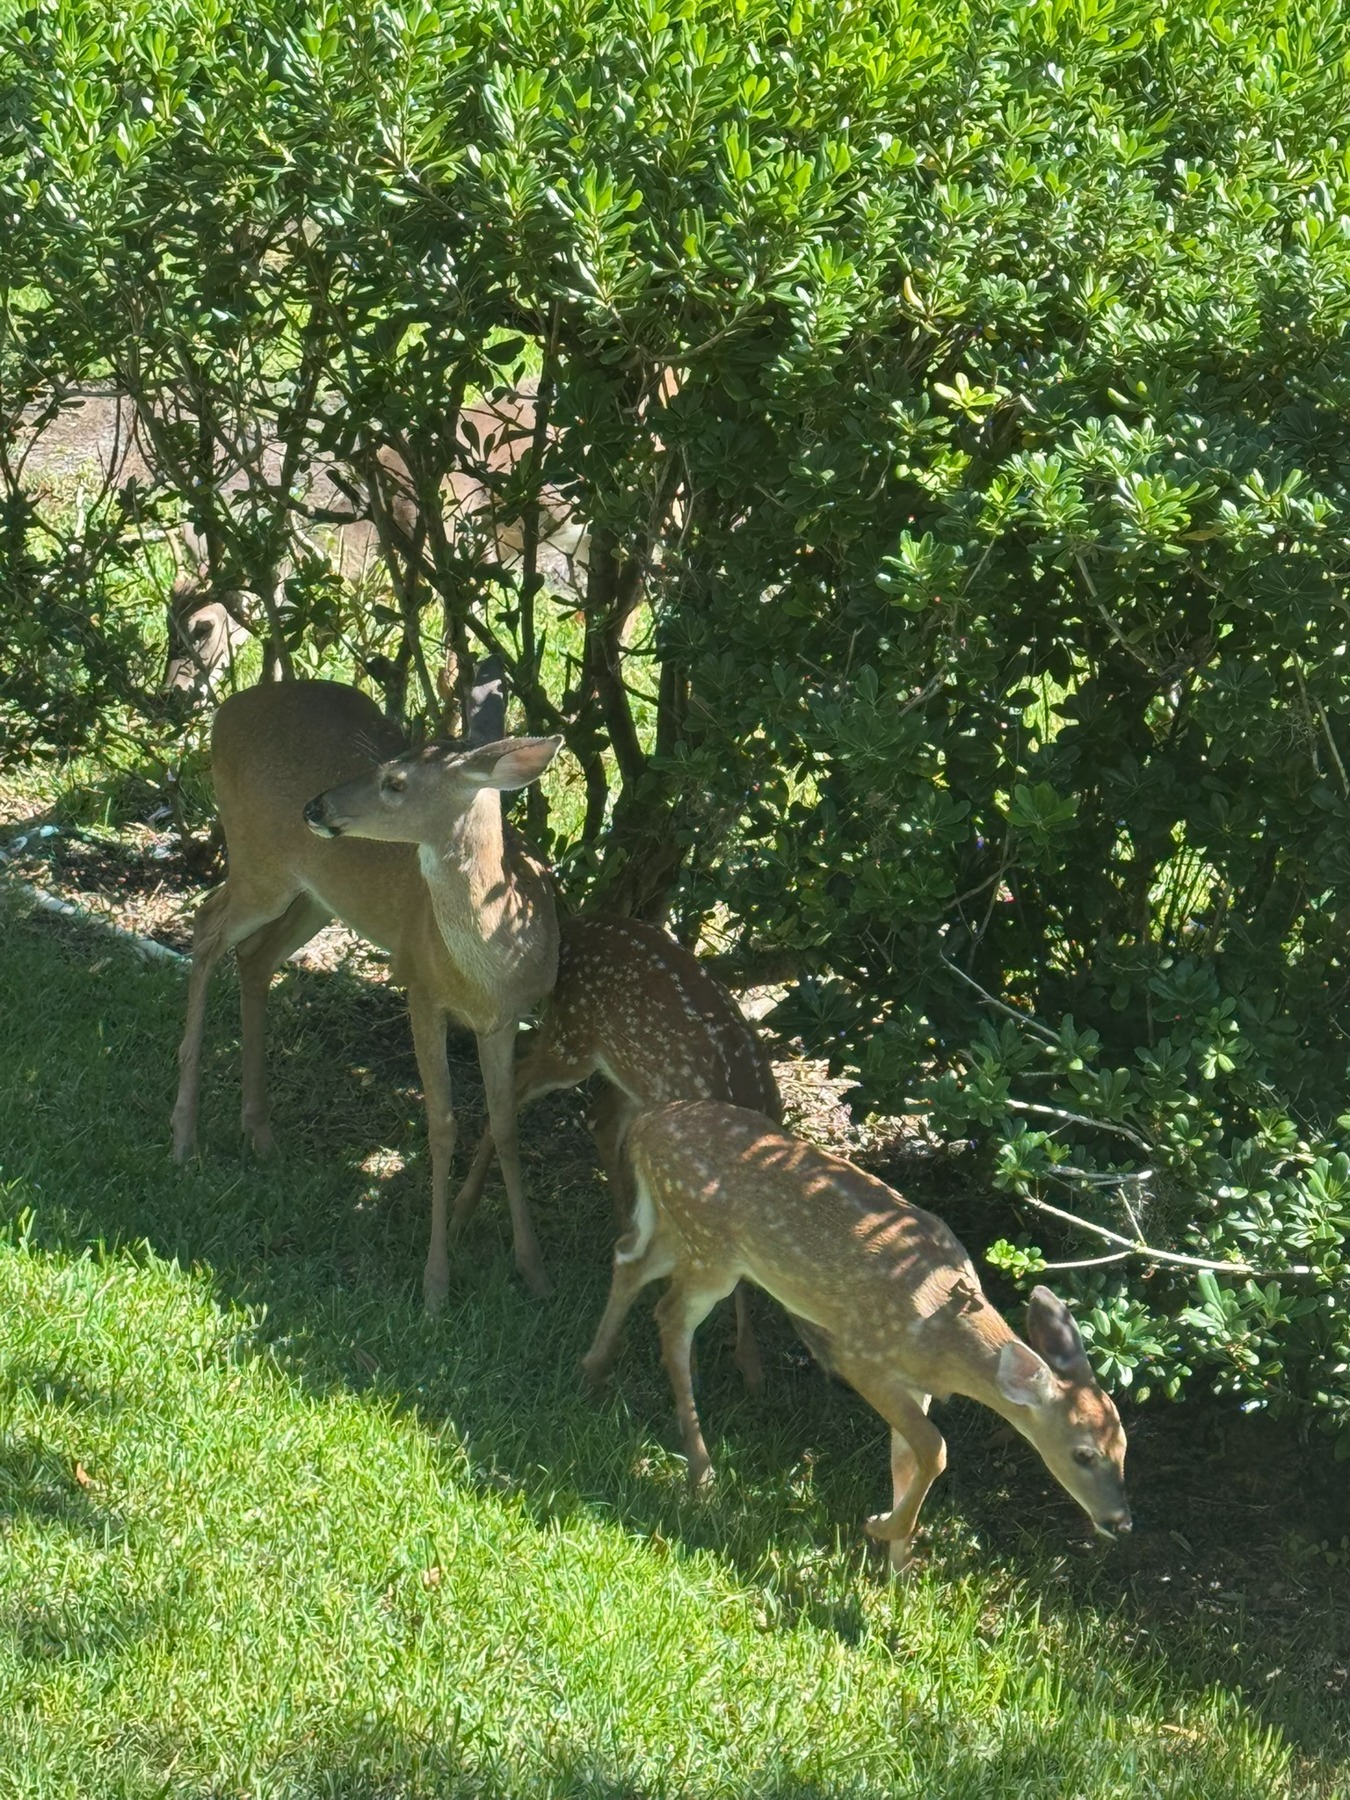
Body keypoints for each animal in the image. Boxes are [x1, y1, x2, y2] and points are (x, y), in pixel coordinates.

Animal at [169, 676, 563, 1308]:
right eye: (387, 763)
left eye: (395, 782)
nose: (316, 807)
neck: (494, 962)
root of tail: (226, 709)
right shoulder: (420, 988)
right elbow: (442, 1126)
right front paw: (435, 1286)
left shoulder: (504, 1020)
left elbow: (504, 1124)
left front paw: (534, 1272)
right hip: (259, 861)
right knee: (205, 929)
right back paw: (184, 1138)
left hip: (315, 895)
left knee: (253, 959)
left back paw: (260, 1133)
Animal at [448, 913, 783, 1383]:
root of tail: (575, 926)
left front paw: (749, 1362)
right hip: (572, 1041)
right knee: (513, 1088)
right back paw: (462, 1211)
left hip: (632, 1077)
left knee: (599, 1118)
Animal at [582, 1101, 1131, 1572]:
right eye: (1083, 1454)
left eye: (1125, 1448)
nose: (1121, 1522)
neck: (941, 1341)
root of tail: (647, 1124)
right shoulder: (863, 1356)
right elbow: (935, 1448)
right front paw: (882, 1530)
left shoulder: (915, 1386)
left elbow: (907, 1461)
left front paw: (896, 1580)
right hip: (711, 1247)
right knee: (670, 1314)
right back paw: (701, 1471)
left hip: (683, 1231)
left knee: (628, 1256)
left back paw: (594, 1368)